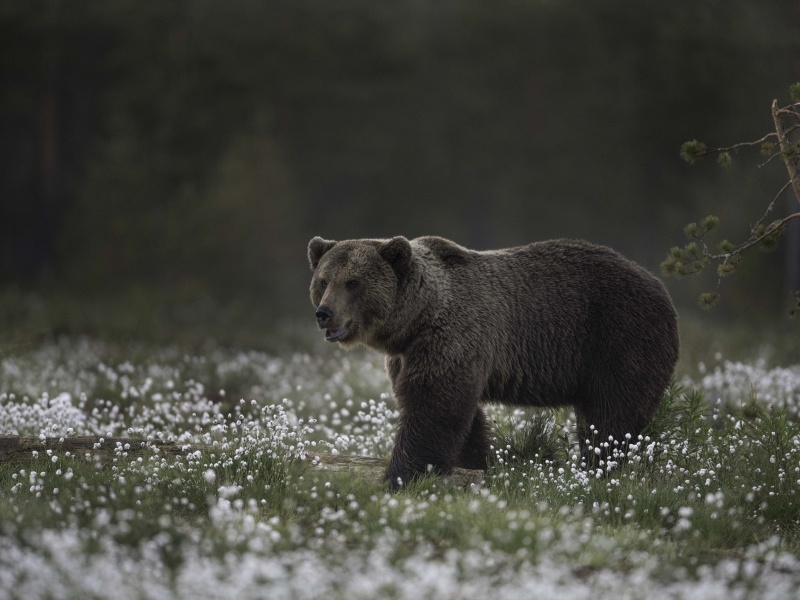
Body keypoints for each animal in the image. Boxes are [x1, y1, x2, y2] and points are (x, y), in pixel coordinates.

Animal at [310, 234, 680, 488]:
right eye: (323, 281)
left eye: (353, 282)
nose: (324, 313)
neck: (416, 320)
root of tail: (661, 287)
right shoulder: (411, 355)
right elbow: (460, 416)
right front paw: (473, 463)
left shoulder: (452, 336)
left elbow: (433, 407)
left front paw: (401, 475)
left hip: (619, 337)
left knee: (611, 415)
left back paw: (598, 467)